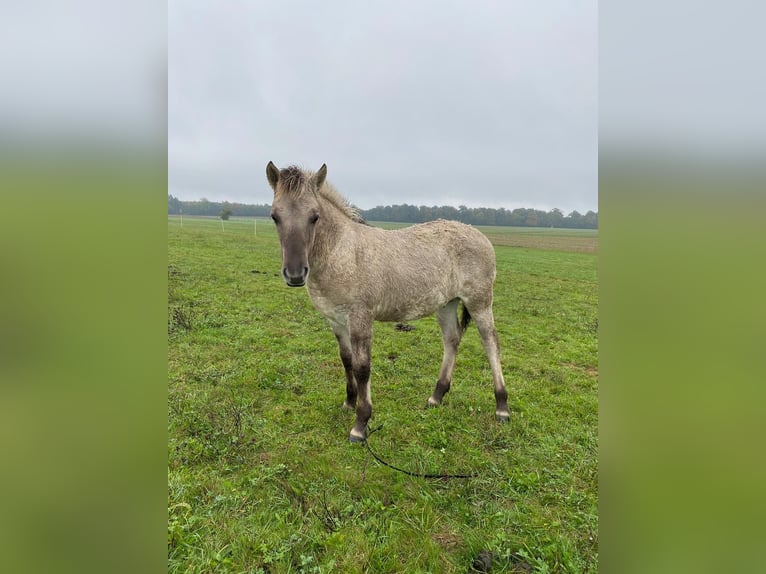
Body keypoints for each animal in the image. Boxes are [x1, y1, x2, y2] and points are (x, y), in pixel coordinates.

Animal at [266, 162, 510, 442]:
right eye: (275, 216)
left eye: (314, 216)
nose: (295, 274)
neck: (342, 253)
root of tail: (480, 235)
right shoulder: (335, 320)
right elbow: (346, 360)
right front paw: (349, 402)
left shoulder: (361, 318)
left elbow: (362, 367)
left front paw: (360, 424)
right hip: (446, 304)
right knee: (452, 339)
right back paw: (436, 396)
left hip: (480, 301)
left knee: (491, 343)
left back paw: (502, 407)